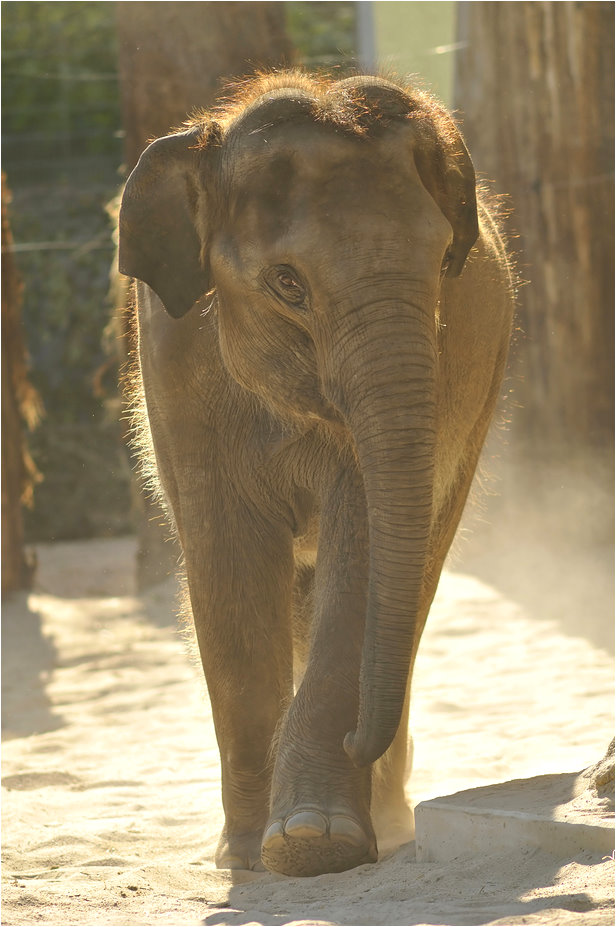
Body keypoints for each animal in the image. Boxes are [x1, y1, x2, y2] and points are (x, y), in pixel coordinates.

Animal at [118, 71, 515, 878]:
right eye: (287, 283)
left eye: (443, 264)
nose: (359, 740)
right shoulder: (175, 367)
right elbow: (228, 563)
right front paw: (248, 854)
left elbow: (362, 549)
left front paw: (311, 843)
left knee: (415, 576)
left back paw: (385, 816)